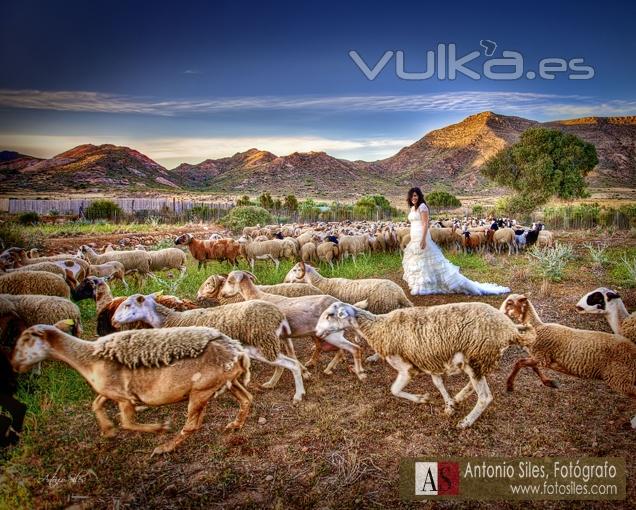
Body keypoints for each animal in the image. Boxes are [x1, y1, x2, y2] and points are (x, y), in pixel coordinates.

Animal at [11, 322, 252, 454]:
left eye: (25, 339)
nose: (14, 364)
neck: (87, 358)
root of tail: (238, 352)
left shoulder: (123, 396)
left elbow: (127, 422)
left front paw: (159, 428)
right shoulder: (112, 392)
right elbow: (96, 404)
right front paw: (108, 430)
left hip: (201, 390)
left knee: (192, 426)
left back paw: (165, 447)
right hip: (227, 382)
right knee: (247, 399)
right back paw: (235, 425)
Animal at [112, 294, 308, 402]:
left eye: (128, 305)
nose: (113, 321)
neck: (170, 320)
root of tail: (278, 314)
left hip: (263, 343)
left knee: (291, 364)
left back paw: (298, 395)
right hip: (268, 343)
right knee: (287, 362)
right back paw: (275, 383)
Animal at [316, 300, 536, 428]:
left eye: (330, 315)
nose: (317, 332)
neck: (379, 328)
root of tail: (510, 329)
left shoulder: (406, 369)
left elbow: (394, 390)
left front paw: (422, 399)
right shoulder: (429, 360)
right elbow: (439, 384)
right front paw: (449, 404)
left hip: (478, 356)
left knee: (484, 397)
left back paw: (466, 422)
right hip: (479, 360)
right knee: (474, 385)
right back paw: (459, 398)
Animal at [500, 292, 632, 428]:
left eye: (510, 303)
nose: (500, 313)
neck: (538, 328)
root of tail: (632, 347)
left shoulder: (543, 357)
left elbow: (519, 363)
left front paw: (509, 385)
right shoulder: (539, 357)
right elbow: (533, 367)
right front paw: (550, 382)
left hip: (620, 378)